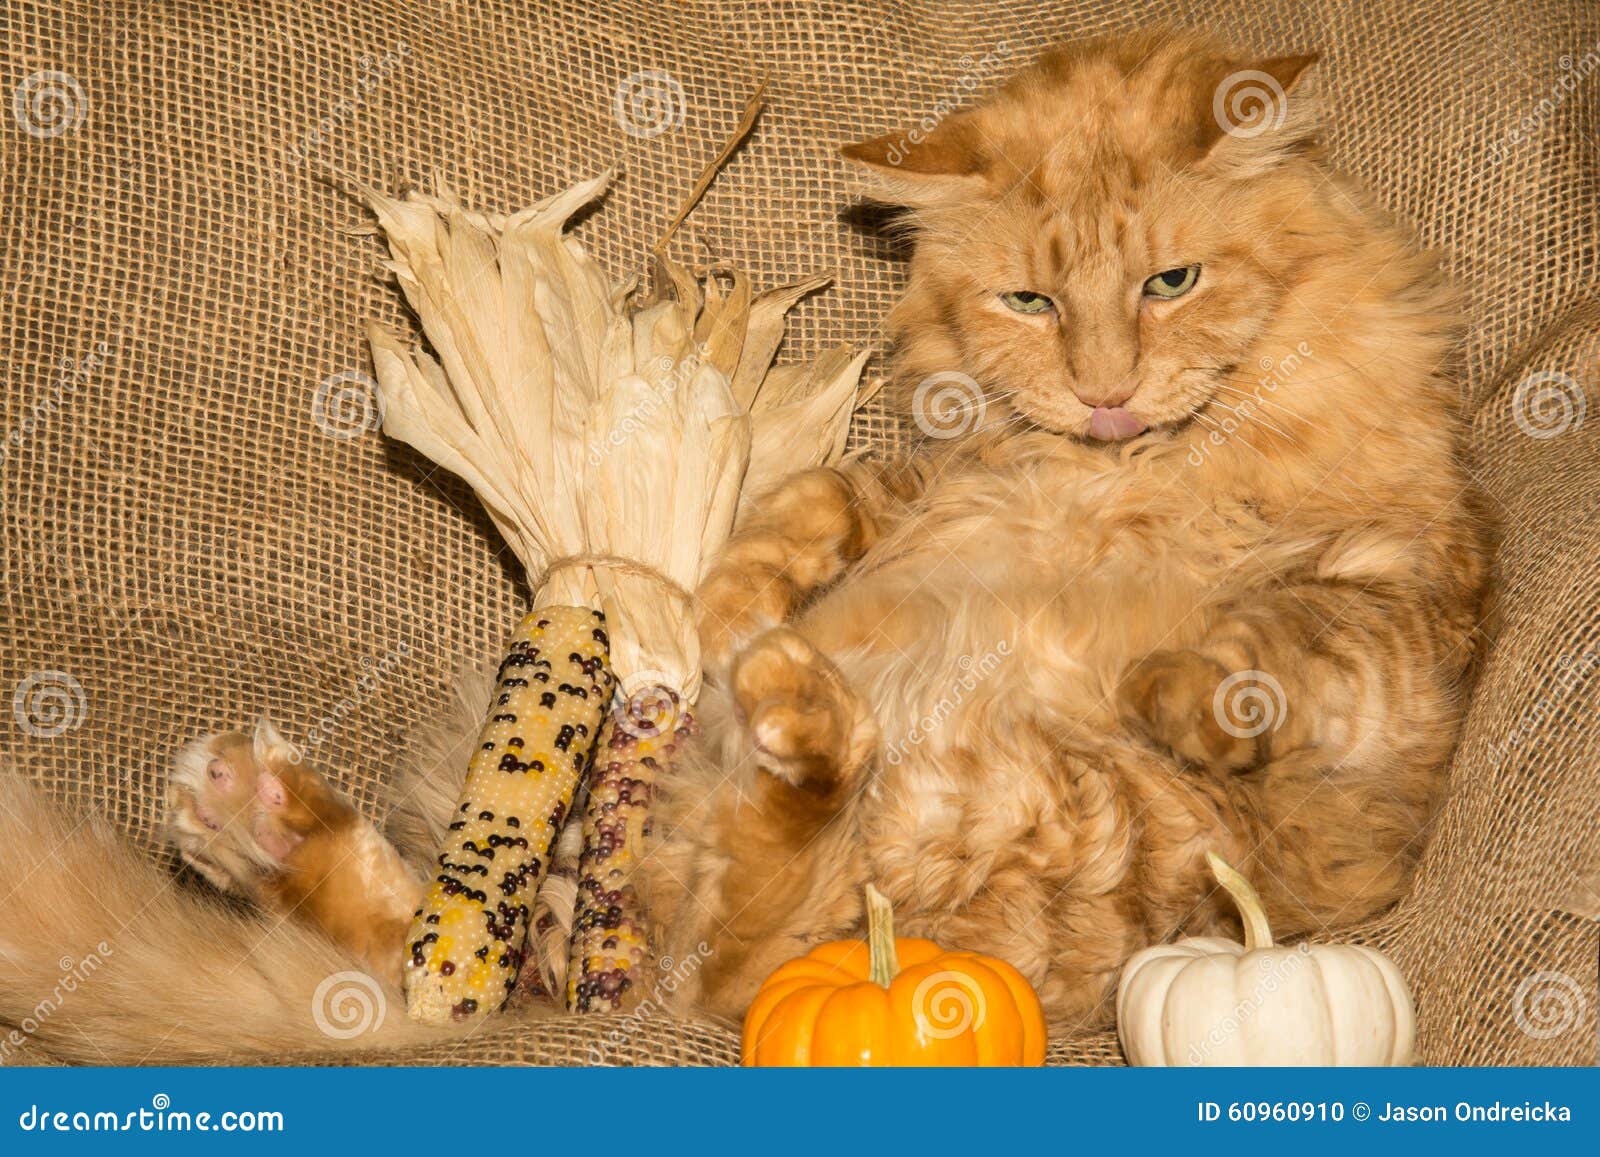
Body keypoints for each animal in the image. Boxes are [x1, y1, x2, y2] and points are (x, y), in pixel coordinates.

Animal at [0, 29, 1484, 1056]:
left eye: (1172, 283)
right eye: (1030, 302)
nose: (1107, 391)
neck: (1123, 477)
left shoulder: (1406, 597)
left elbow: (1270, 644)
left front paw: (1175, 686)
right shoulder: (915, 481)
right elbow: (805, 513)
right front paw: (710, 617)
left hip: (1038, 834)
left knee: (731, 933)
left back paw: (782, 715)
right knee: (500, 947)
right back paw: (262, 813)